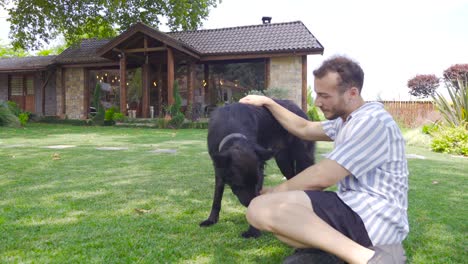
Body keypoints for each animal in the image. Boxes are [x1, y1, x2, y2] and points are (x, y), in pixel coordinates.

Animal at [199, 98, 316, 237]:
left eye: (255, 183)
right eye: (239, 185)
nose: (249, 204)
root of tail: (299, 109)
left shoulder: (260, 171)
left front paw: (253, 230)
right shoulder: (218, 169)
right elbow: (217, 196)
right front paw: (211, 219)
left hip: (302, 159)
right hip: (283, 162)